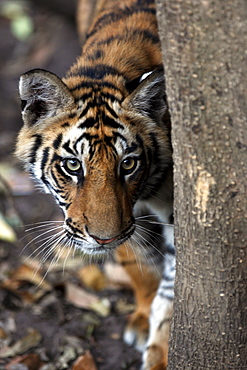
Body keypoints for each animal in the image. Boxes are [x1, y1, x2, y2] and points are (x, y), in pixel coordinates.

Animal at [15, 0, 175, 368]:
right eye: (73, 165)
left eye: (128, 164)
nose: (104, 239)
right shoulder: (130, 218)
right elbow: (139, 265)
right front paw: (144, 318)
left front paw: (161, 351)